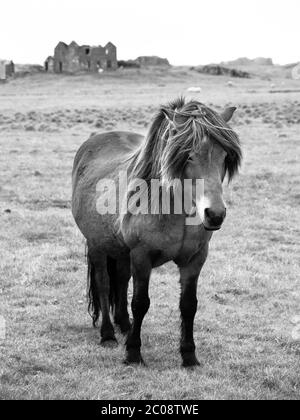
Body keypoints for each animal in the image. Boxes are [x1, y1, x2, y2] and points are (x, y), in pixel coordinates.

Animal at [72, 97, 241, 366]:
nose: (214, 214)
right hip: (98, 245)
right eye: (187, 156)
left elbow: (188, 304)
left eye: (224, 156)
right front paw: (133, 353)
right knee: (105, 284)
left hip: (121, 251)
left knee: (121, 280)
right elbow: (141, 302)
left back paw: (124, 325)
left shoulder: (195, 259)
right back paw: (108, 335)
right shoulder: (142, 256)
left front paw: (189, 355)